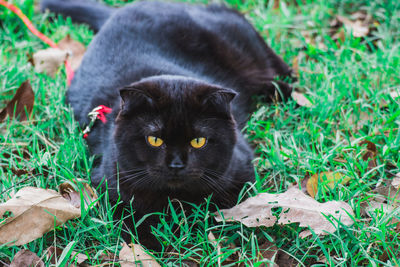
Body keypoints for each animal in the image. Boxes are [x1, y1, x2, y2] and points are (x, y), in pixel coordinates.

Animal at [41, 0, 294, 249]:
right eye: (154, 139)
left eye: (198, 141)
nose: (176, 164)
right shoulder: (109, 182)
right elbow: (130, 218)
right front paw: (151, 242)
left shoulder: (241, 171)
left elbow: (219, 205)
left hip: (241, 40)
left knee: (274, 65)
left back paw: (285, 90)